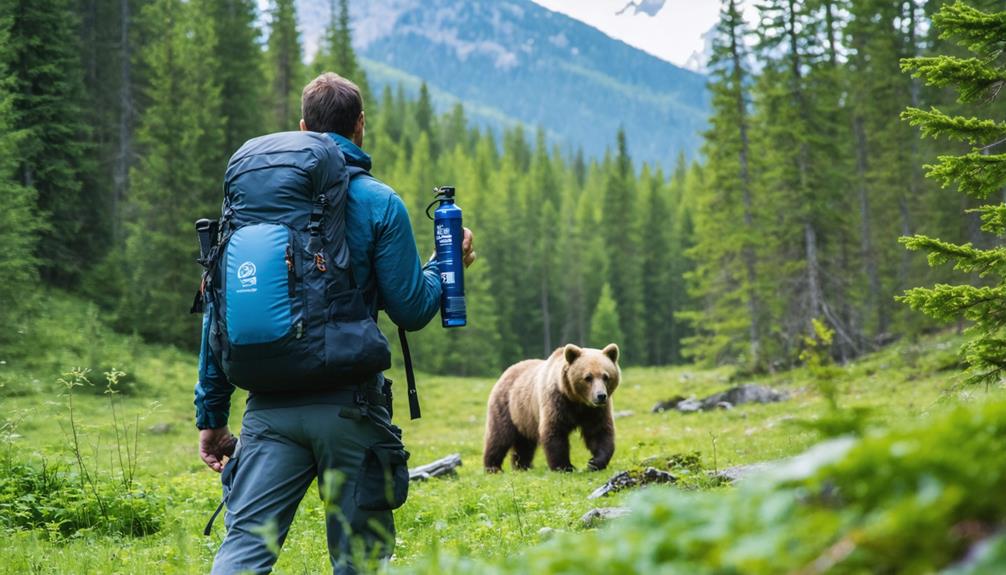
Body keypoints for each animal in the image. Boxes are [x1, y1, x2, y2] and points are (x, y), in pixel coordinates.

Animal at [480, 341, 615, 472]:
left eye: (606, 376)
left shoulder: (595, 411)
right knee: (499, 436)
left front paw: (595, 462)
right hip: (506, 405)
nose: (601, 396)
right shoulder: (556, 401)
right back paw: (493, 467)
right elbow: (554, 431)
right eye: (588, 377)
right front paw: (564, 466)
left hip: (524, 416)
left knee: (524, 443)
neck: (576, 400)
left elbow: (599, 431)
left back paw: (522, 466)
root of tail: (506, 371)